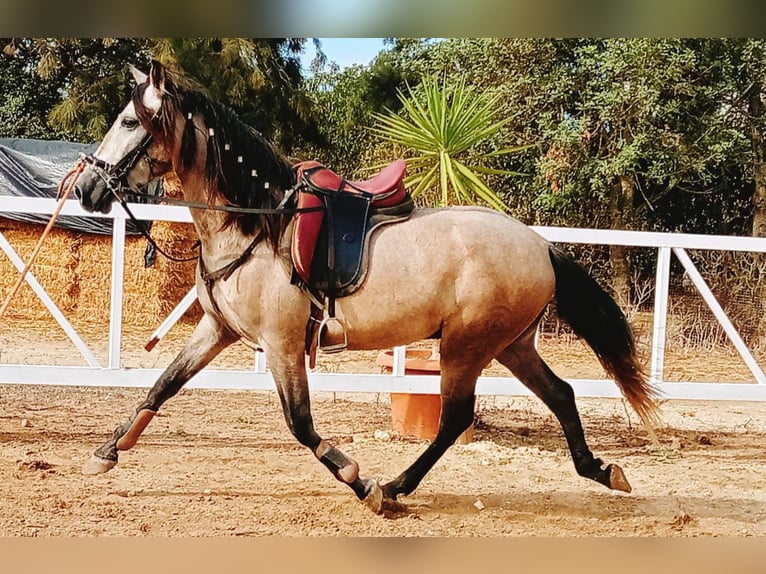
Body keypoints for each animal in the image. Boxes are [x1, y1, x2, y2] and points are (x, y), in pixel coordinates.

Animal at [70, 60, 660, 516]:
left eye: (128, 120)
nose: (86, 188)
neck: (257, 224)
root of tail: (539, 245)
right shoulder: (218, 330)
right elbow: (162, 385)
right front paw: (107, 451)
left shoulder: (282, 345)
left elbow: (301, 424)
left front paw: (361, 481)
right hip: (509, 344)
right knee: (559, 394)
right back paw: (600, 470)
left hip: (466, 346)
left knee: (455, 418)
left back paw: (395, 487)